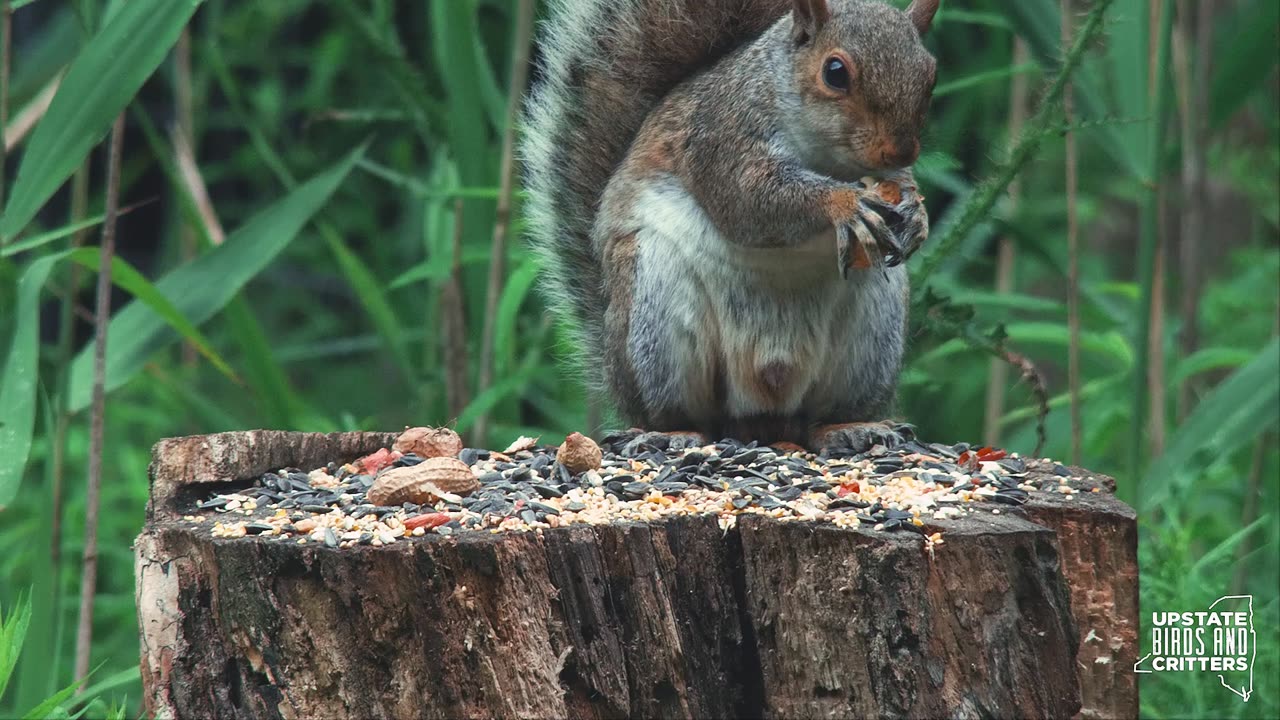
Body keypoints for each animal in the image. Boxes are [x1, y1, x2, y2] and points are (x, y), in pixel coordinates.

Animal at [522, 0, 942, 448]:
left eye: (931, 74)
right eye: (835, 72)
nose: (900, 150)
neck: (827, 156)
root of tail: (762, 418)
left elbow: (897, 185)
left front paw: (916, 212)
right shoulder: (721, 137)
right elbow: (749, 201)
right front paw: (844, 203)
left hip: (874, 337)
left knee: (820, 417)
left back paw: (850, 426)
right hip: (654, 316)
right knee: (682, 415)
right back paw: (674, 432)